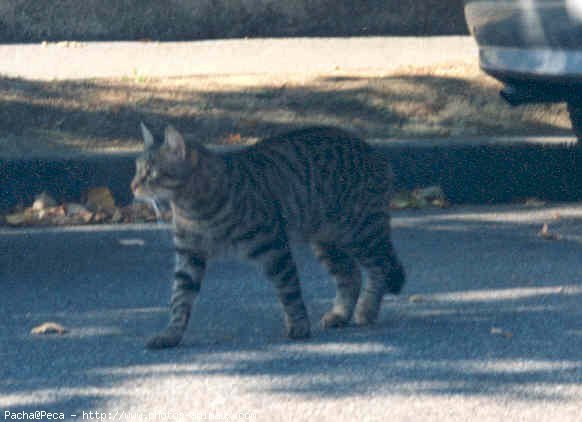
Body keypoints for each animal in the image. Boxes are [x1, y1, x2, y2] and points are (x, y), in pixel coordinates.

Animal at [132, 123, 406, 350]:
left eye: (151, 173)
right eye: (137, 170)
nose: (132, 186)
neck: (192, 208)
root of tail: (374, 151)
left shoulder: (273, 247)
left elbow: (289, 290)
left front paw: (299, 326)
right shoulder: (189, 255)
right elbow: (179, 300)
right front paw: (171, 334)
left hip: (360, 233)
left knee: (379, 269)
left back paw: (367, 311)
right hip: (327, 242)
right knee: (351, 275)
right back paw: (340, 314)